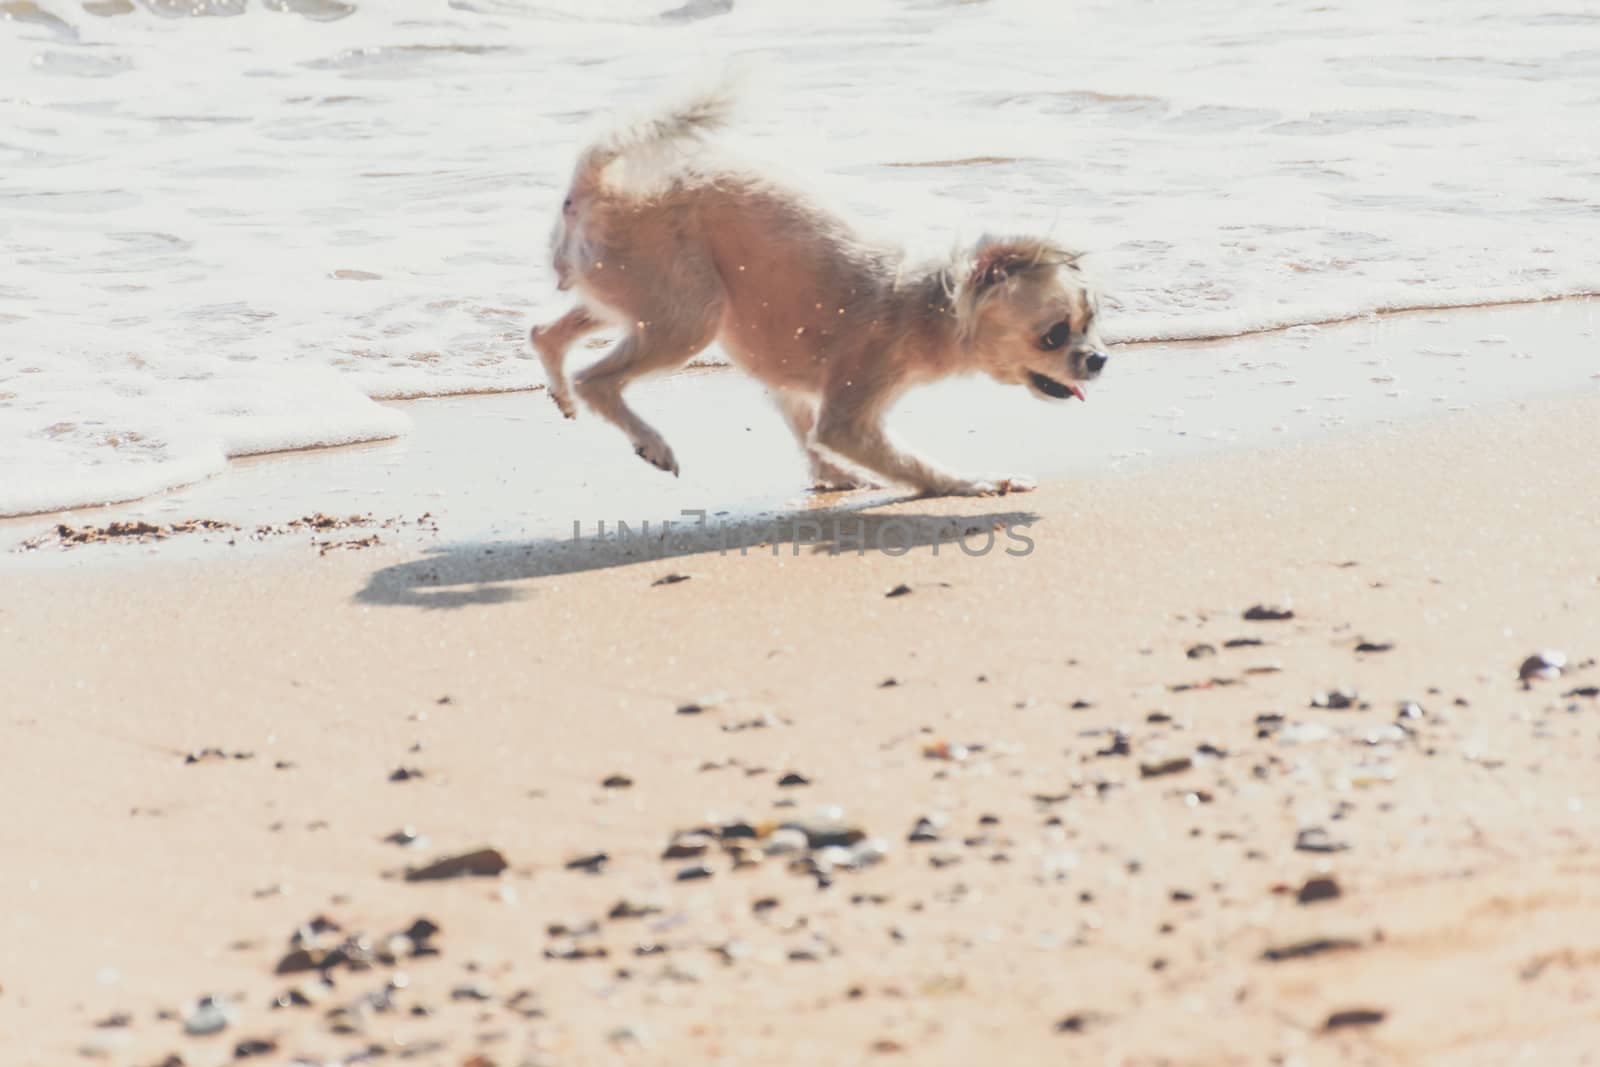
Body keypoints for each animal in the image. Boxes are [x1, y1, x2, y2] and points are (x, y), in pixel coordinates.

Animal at [531, 85, 1107, 499]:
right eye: (1055, 335)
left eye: (1092, 323)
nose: (1100, 359)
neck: (924, 304)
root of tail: (596, 187)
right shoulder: (850, 413)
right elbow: (890, 455)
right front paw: (971, 483)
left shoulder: (792, 390)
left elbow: (808, 434)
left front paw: (837, 476)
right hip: (690, 312)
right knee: (597, 380)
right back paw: (647, 440)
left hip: (632, 296)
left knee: (544, 332)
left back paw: (559, 385)